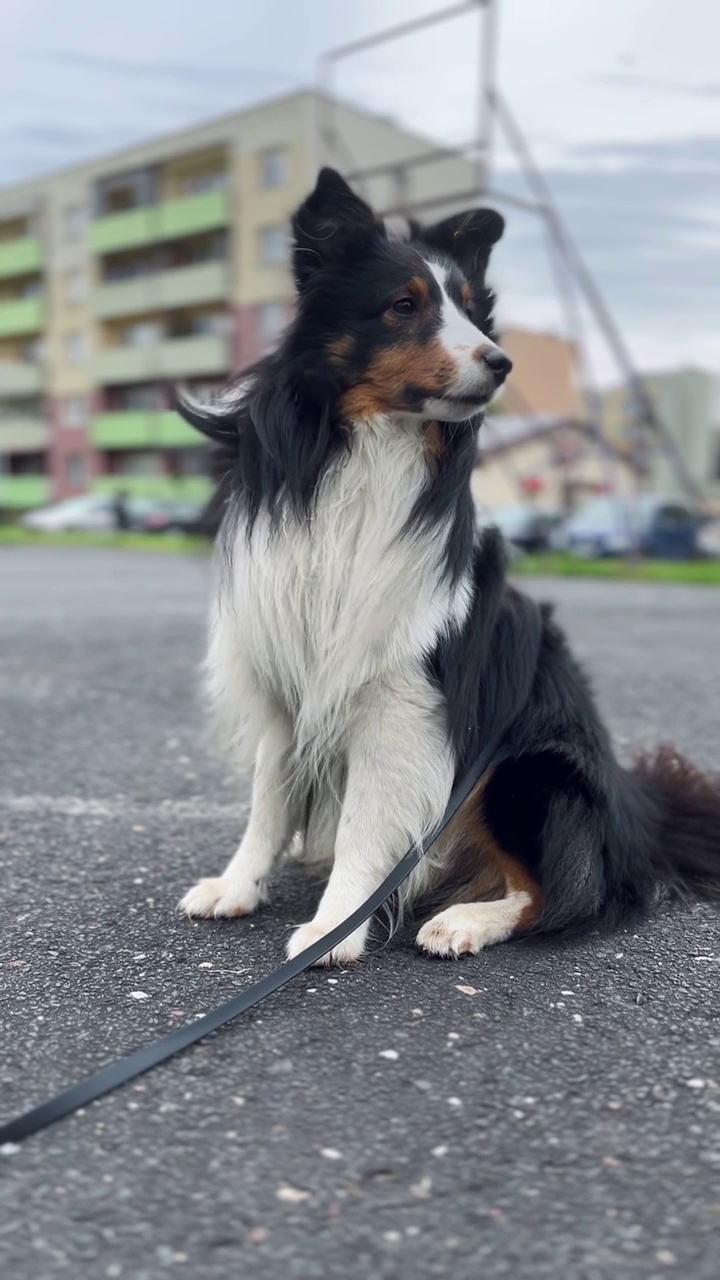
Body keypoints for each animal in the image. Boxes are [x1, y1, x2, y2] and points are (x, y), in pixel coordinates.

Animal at [175, 167, 717, 962]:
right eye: (404, 307)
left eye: (472, 313)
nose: (501, 363)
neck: (370, 448)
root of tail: (636, 816)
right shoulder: (282, 673)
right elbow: (268, 802)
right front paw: (239, 884)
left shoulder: (400, 694)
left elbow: (366, 819)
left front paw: (332, 929)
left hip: (524, 770)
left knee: (554, 895)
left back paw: (464, 921)